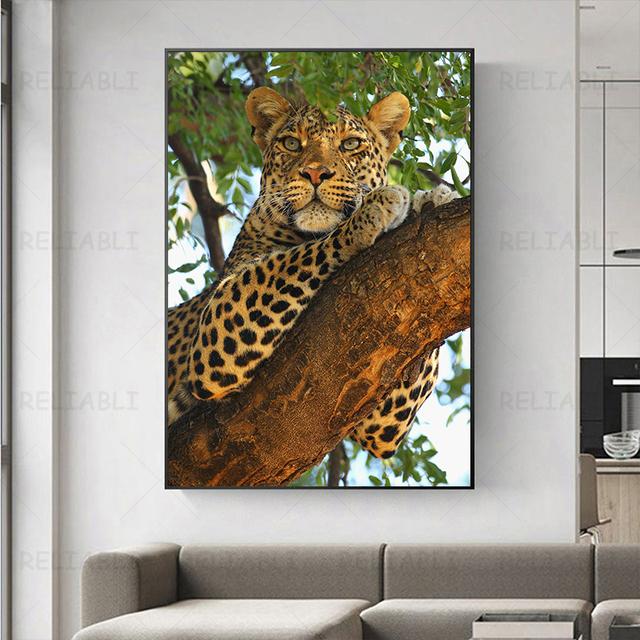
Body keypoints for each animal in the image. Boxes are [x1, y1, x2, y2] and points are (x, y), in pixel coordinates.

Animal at [167, 86, 457, 459]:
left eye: (350, 144)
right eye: (292, 144)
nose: (315, 174)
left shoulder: (380, 421)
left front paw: (431, 200)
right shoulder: (215, 325)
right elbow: (291, 257)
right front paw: (375, 208)